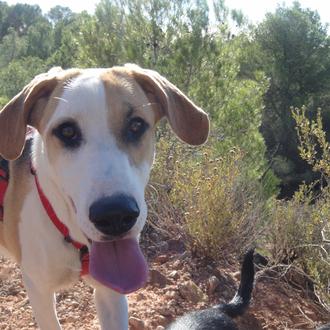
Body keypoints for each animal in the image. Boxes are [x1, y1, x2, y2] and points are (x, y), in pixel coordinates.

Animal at [0, 63, 209, 328]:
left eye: (136, 125)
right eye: (67, 131)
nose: (115, 216)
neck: (71, 237)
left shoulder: (111, 293)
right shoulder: (39, 290)